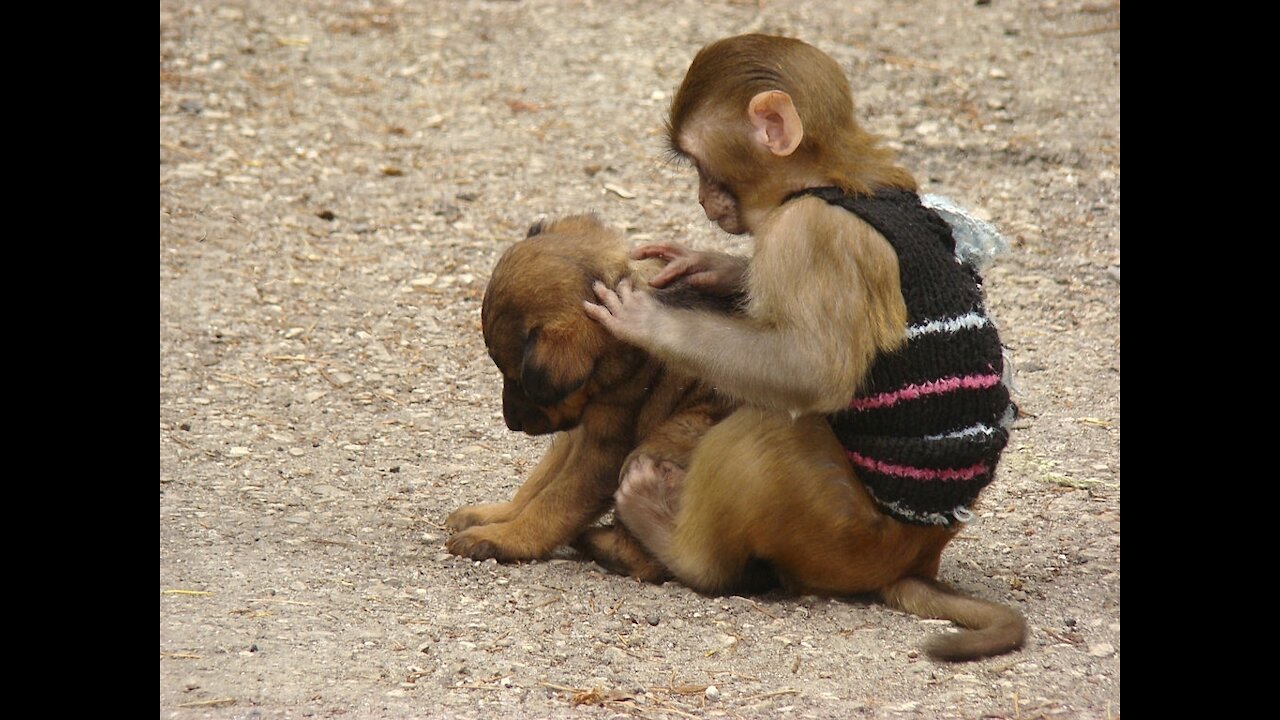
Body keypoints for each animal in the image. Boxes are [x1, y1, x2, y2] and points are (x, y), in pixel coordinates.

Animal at [445, 212, 737, 571]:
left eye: (520, 382)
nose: (511, 424)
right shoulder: (578, 430)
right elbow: (537, 484)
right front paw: (495, 516)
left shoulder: (603, 449)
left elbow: (552, 504)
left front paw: (502, 538)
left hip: (667, 441)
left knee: (648, 561)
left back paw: (594, 541)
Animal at [583, 36, 1029, 661]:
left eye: (698, 162)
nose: (701, 199)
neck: (826, 180)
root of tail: (918, 556)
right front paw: (714, 267)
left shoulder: (809, 234)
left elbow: (811, 371)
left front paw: (649, 322)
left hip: (842, 535)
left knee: (763, 436)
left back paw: (676, 544)